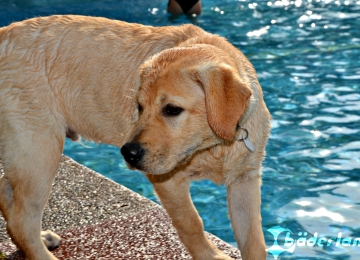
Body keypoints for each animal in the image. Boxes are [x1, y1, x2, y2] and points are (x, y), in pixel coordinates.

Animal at [0, 15, 270, 258]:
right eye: (139, 107)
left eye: (172, 109)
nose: (128, 153)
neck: (216, 146)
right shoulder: (167, 180)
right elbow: (191, 223)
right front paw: (211, 255)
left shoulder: (244, 180)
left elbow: (254, 240)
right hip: (39, 151)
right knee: (22, 219)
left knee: (7, 193)